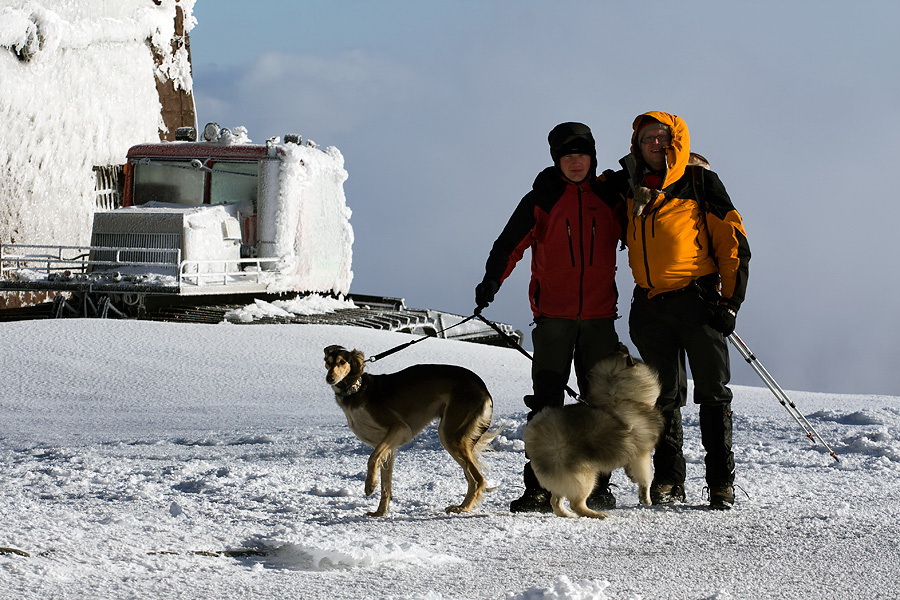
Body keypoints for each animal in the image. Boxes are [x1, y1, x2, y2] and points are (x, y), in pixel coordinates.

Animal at [324, 344, 492, 516]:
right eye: (327, 362)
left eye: (342, 362)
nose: (329, 378)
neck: (356, 390)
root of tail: (481, 386)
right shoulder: (387, 446)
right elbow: (386, 484)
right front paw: (380, 512)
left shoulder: (398, 428)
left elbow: (372, 459)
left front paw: (370, 485)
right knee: (474, 478)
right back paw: (463, 506)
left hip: (450, 434)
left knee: (478, 479)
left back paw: (463, 507)